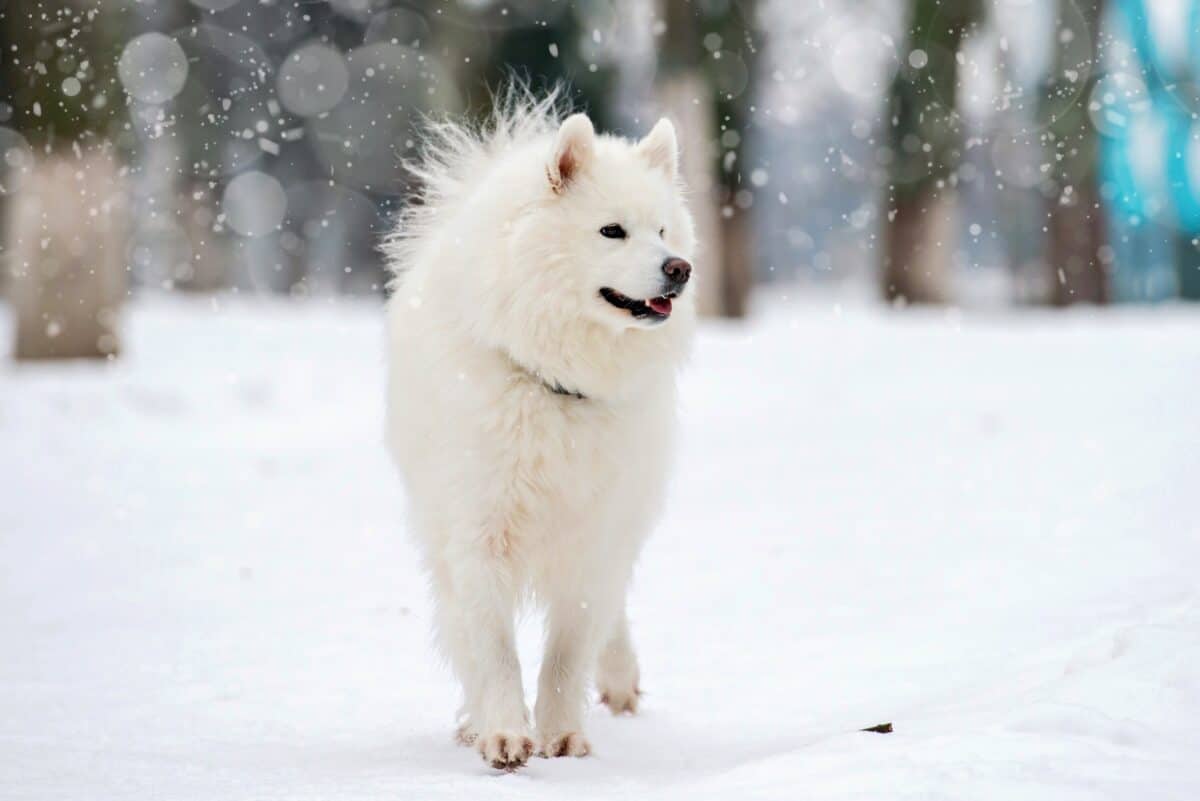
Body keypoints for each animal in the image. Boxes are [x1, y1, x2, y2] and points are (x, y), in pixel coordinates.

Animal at [384, 89, 700, 767]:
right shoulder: (478, 530)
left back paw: (618, 679)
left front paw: (563, 736)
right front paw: (504, 732)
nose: (679, 268)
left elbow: (568, 653)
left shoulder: (595, 536)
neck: (557, 385)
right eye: (612, 230)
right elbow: (494, 650)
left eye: (662, 230)